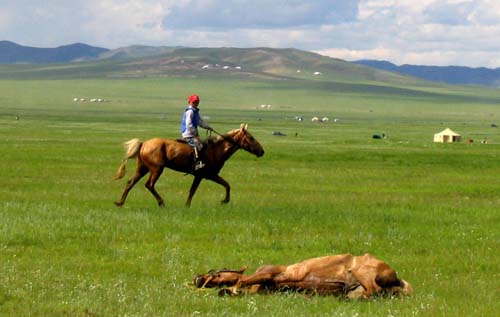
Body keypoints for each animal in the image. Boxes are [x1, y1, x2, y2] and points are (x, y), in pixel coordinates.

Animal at [112, 123, 262, 207]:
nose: (262, 151)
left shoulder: (208, 175)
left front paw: (224, 201)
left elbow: (226, 185)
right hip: (156, 169)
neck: (216, 149)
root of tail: (144, 144)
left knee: (130, 182)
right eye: (251, 138)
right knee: (149, 185)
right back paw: (161, 203)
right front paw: (224, 201)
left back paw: (120, 203)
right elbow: (195, 190)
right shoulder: (205, 175)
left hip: (143, 168)